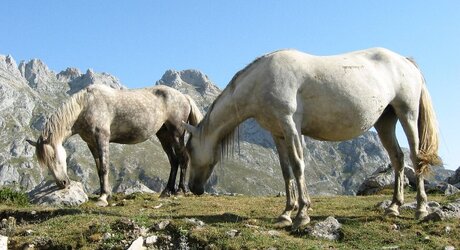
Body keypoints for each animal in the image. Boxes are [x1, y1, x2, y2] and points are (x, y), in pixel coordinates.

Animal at [184, 47, 442, 229]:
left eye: (190, 150)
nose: (193, 188)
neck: (262, 80)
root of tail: (405, 61)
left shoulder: (290, 125)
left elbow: (298, 165)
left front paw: (302, 214)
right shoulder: (277, 133)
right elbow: (286, 171)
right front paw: (286, 214)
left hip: (407, 113)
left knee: (415, 157)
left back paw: (421, 209)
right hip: (385, 121)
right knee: (398, 159)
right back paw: (394, 207)